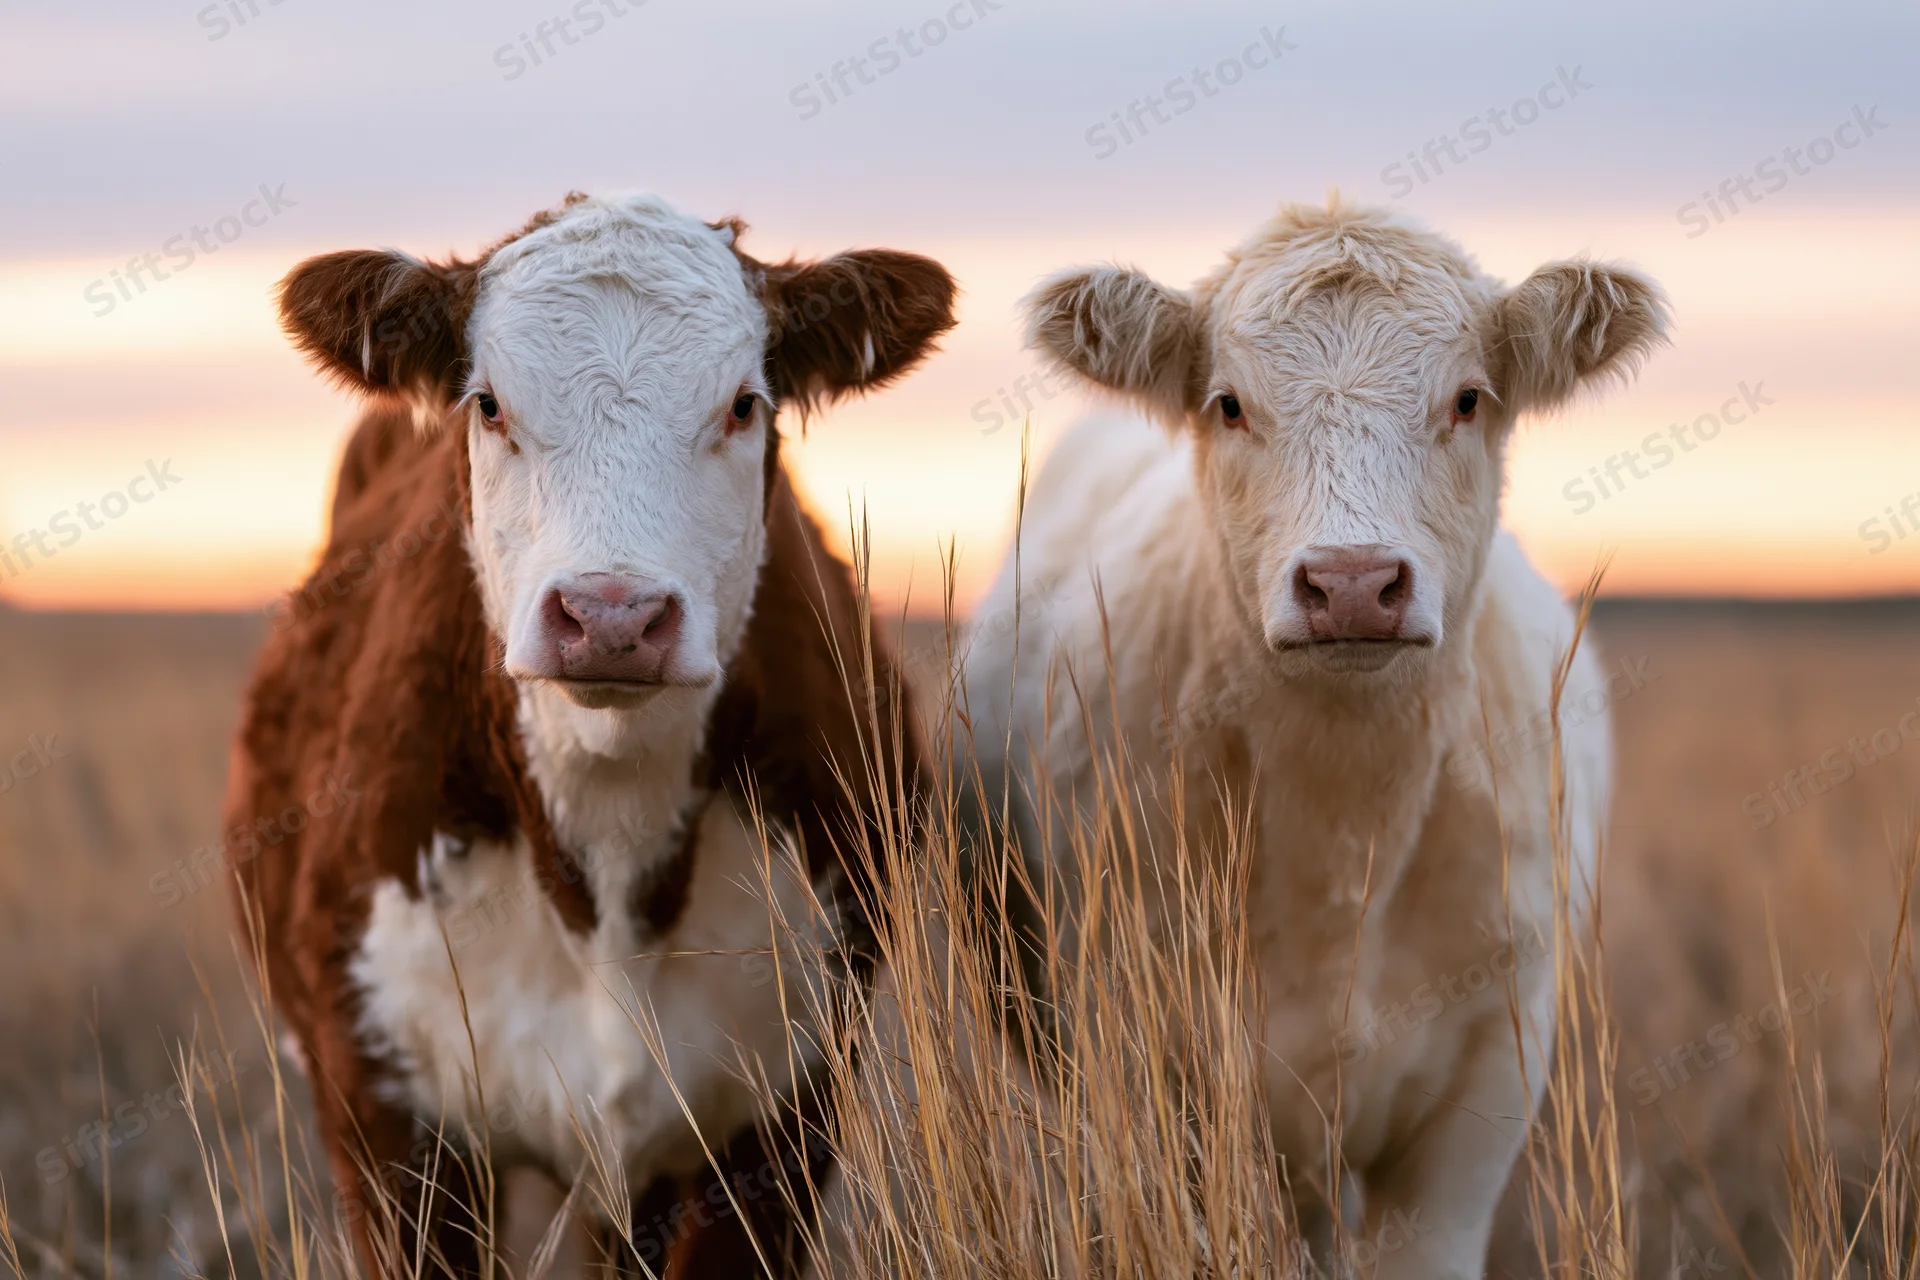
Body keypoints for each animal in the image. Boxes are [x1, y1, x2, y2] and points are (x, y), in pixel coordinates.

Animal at [227, 191, 955, 1276]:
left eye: (744, 403)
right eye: (489, 403)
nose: (613, 616)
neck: (606, 858)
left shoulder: (785, 1113)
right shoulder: (386, 1115)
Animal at [957, 198, 1667, 1278]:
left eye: (1469, 398)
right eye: (1228, 403)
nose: (1353, 581)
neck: (1349, 826)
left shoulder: (1488, 1080)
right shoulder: (1153, 1066)